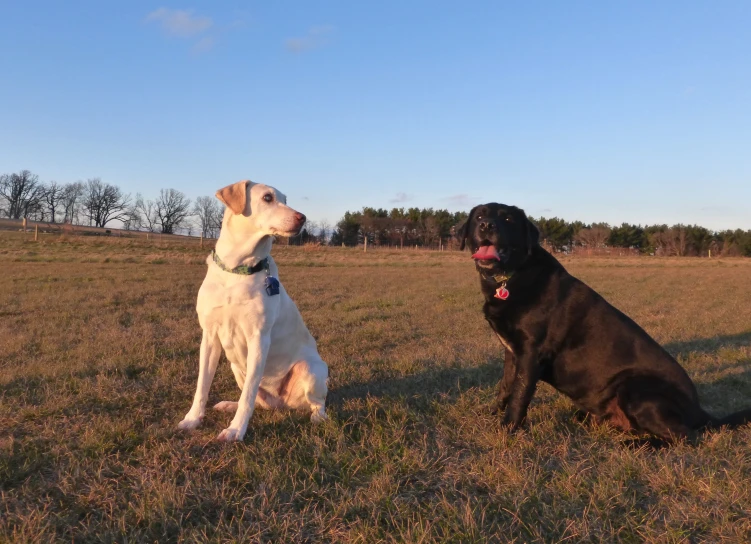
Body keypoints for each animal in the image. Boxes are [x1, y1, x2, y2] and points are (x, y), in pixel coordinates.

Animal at [458, 203, 751, 442]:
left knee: (683, 436)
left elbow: (520, 396)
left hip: (634, 387)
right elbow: (506, 388)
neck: (509, 278)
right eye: (480, 216)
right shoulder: (512, 352)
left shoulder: (531, 354)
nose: (487, 225)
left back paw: (636, 445)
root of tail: (700, 412)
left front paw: (506, 429)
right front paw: (491, 414)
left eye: (508, 219)